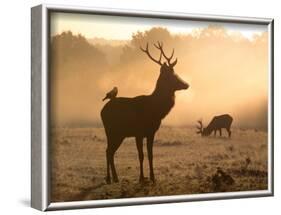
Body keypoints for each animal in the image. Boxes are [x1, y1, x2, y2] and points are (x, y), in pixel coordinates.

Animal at [100, 42, 188, 185]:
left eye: (176, 73)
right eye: (172, 76)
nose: (186, 84)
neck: (155, 110)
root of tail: (102, 111)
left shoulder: (151, 132)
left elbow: (150, 154)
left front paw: (152, 177)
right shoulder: (139, 132)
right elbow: (141, 155)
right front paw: (142, 178)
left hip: (119, 134)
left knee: (110, 151)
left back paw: (115, 178)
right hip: (111, 131)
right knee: (108, 151)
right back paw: (108, 178)